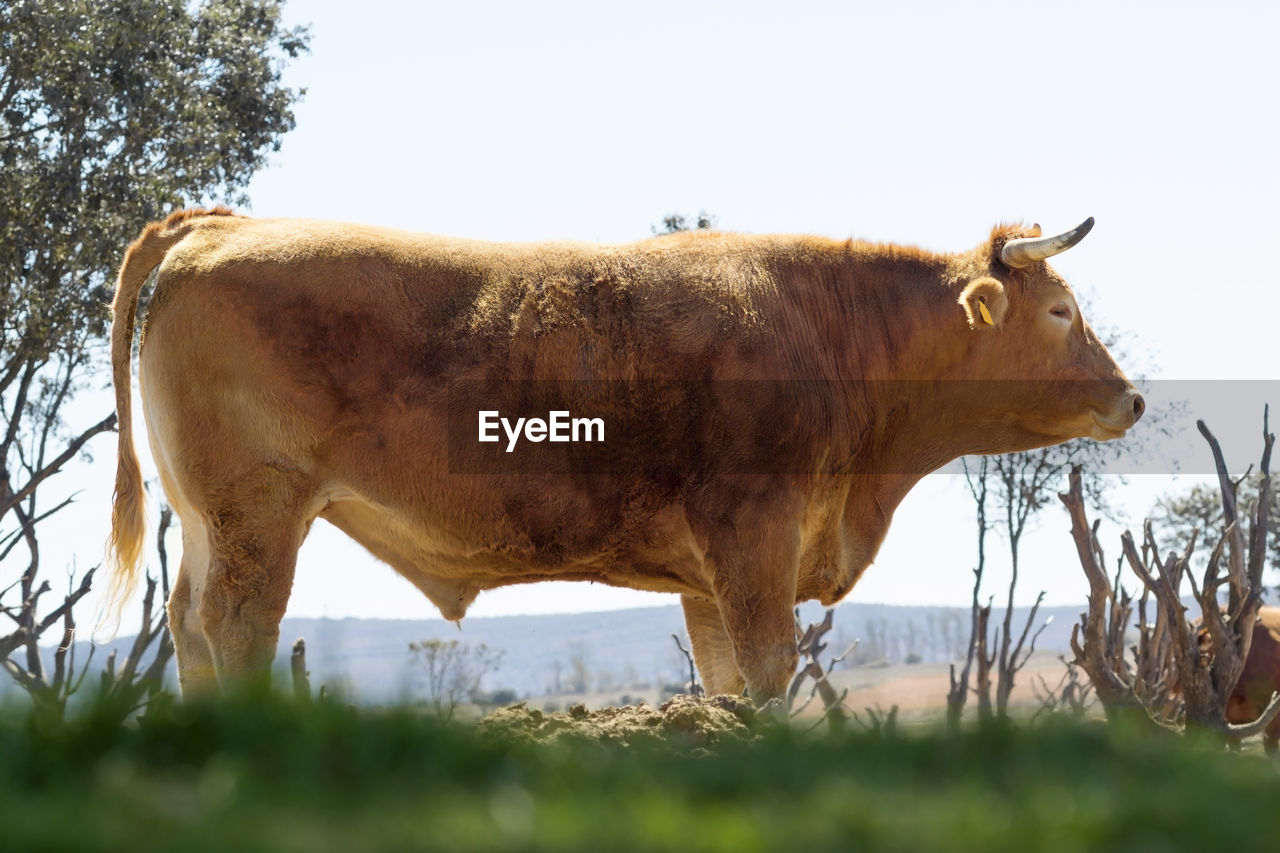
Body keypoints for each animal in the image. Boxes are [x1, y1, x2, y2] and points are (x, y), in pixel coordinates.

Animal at [110, 208, 1146, 696]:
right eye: (1063, 312)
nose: (1131, 397)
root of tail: (221, 226)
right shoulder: (754, 541)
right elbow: (768, 669)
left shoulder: (708, 577)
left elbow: (727, 680)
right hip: (258, 514)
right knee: (235, 626)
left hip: (207, 522)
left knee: (188, 622)